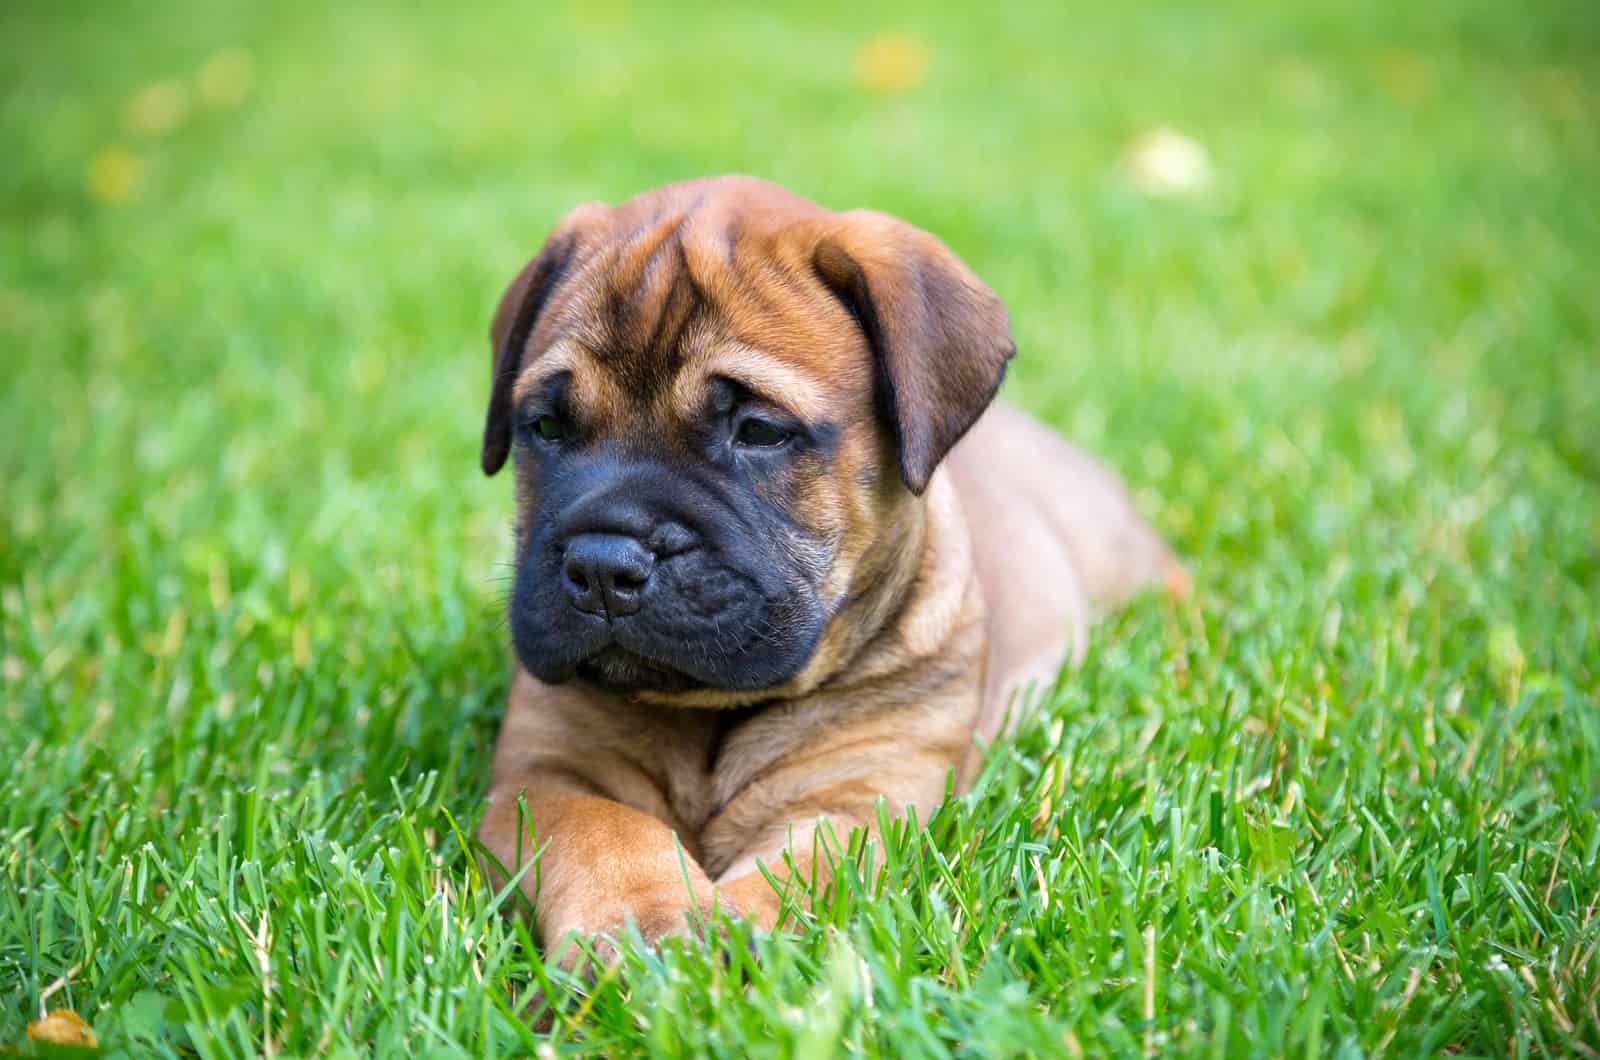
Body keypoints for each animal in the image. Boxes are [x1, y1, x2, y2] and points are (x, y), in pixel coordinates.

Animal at [470, 176, 1177, 960]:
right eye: (547, 427)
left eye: (757, 431)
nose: (602, 566)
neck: (707, 713)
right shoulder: (545, 775)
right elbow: (601, 830)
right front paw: (644, 922)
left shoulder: (867, 793)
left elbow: (811, 871)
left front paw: (731, 936)